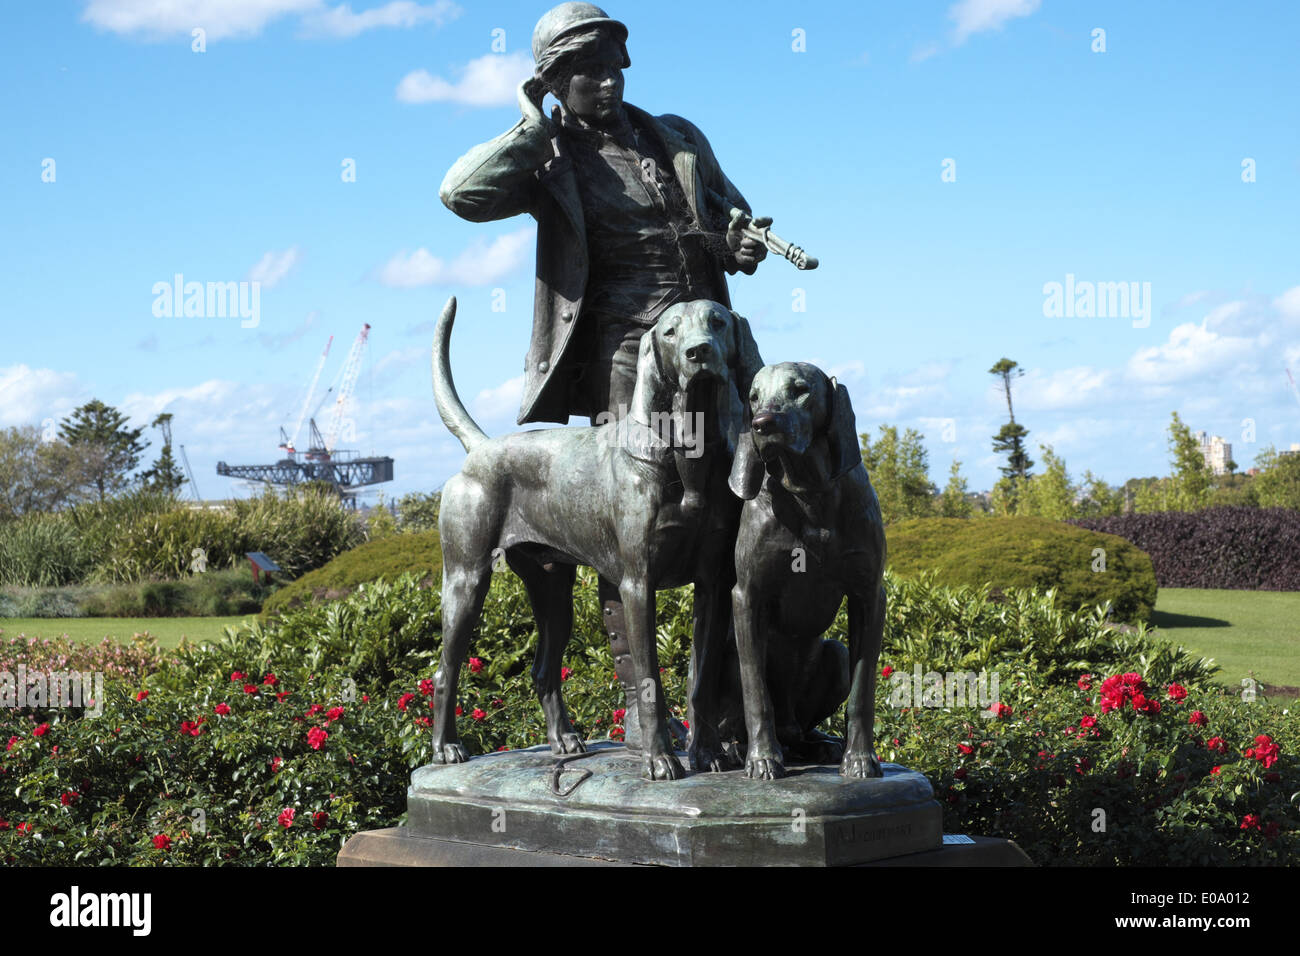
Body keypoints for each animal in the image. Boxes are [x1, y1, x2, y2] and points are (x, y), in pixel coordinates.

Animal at [431, 295, 764, 780]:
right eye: (669, 332)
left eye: (717, 321)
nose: (698, 352)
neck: (690, 449)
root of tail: (482, 448)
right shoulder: (637, 585)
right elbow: (648, 680)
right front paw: (660, 759)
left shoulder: (712, 585)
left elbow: (699, 679)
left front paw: (708, 754)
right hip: (466, 580)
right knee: (446, 670)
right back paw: (446, 747)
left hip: (554, 593)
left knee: (543, 670)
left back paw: (564, 740)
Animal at [728, 361, 889, 780]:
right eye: (754, 397)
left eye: (800, 389)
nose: (762, 424)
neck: (809, 493)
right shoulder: (748, 594)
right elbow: (756, 692)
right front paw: (762, 759)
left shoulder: (869, 594)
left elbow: (863, 690)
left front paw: (860, 758)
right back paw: (737, 748)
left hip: (835, 655)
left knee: (801, 729)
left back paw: (820, 743)